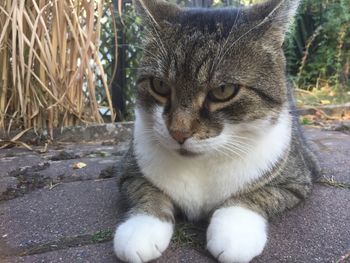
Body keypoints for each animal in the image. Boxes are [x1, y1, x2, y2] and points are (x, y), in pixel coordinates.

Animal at [113, 1, 320, 262]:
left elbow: (256, 194)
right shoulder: (129, 172)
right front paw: (141, 228)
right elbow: (148, 191)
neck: (202, 163)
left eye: (224, 90)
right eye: (159, 85)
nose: (178, 132)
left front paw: (234, 232)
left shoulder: (297, 179)